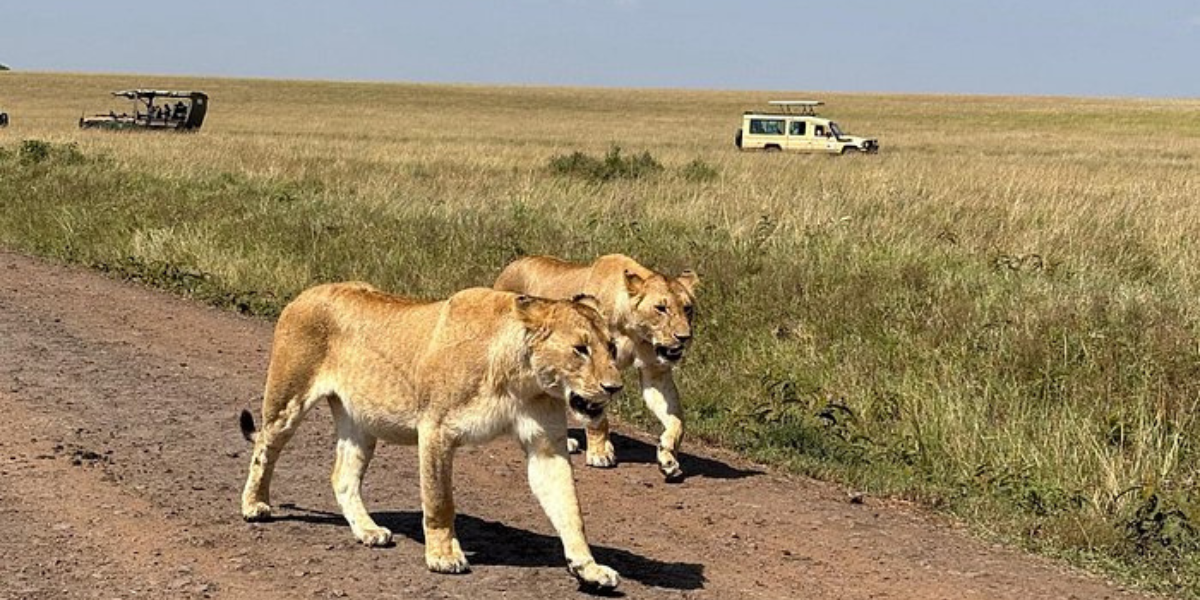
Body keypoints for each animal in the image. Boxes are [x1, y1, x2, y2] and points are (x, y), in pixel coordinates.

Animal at [239, 282, 623, 590]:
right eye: (581, 349)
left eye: (612, 348)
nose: (614, 387)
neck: (521, 378)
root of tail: (305, 293)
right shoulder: (436, 430)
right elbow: (439, 501)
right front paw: (443, 556)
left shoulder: (546, 446)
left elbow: (570, 509)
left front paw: (588, 567)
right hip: (288, 399)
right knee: (264, 448)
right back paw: (254, 505)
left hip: (360, 421)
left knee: (342, 477)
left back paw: (368, 531)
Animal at [494, 254, 697, 482]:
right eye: (661, 308)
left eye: (687, 308)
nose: (684, 337)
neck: (633, 332)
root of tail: (514, 263)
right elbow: (597, 419)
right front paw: (600, 453)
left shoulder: (656, 372)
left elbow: (676, 419)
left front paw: (668, 457)